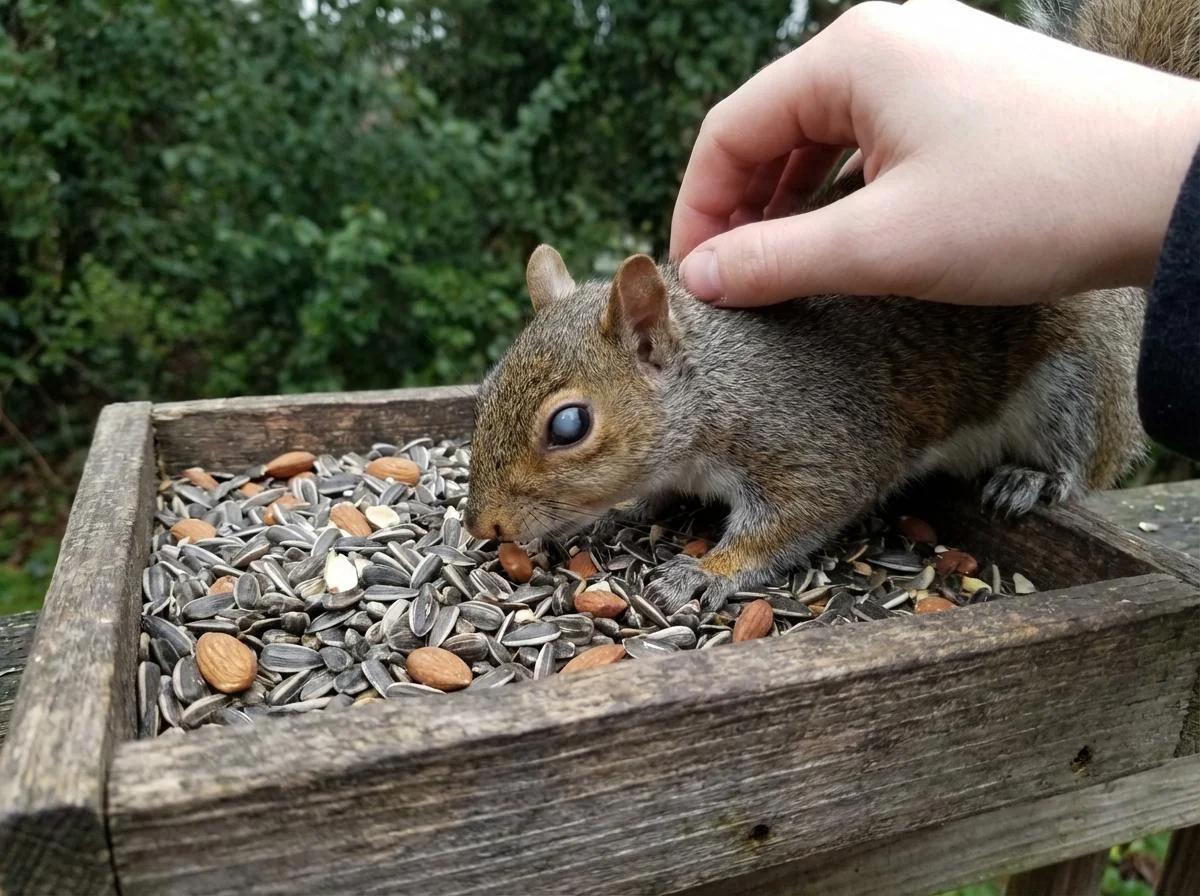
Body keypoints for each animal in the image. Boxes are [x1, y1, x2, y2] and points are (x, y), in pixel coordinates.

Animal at [464, 0, 1197, 613]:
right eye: (486, 387)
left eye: (568, 426)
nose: (484, 526)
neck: (718, 384)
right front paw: (611, 512)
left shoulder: (817, 445)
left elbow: (796, 517)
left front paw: (704, 571)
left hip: (1076, 380)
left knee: (1086, 458)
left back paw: (1030, 479)